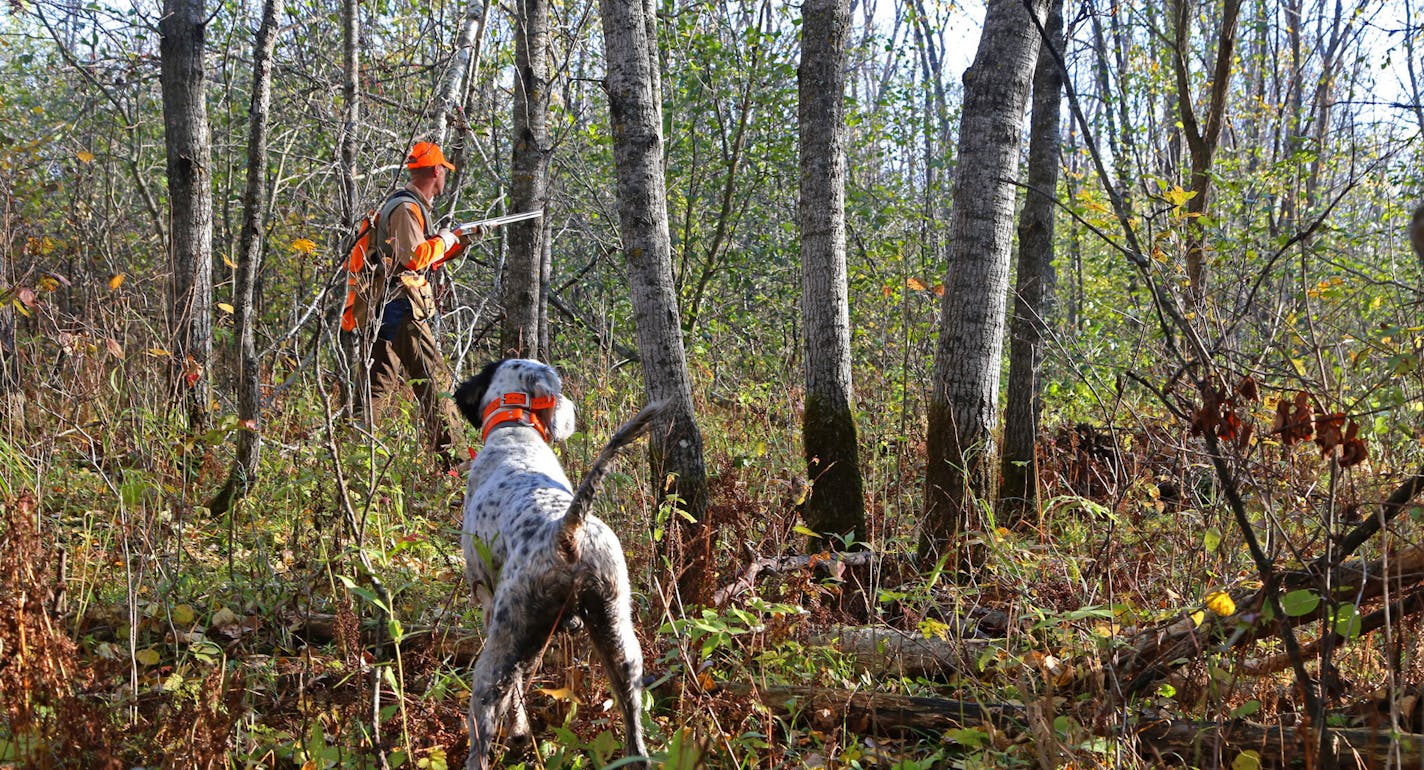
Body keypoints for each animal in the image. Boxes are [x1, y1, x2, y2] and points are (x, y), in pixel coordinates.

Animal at [449, 360, 660, 768]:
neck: (516, 433)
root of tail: (567, 529)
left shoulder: (490, 606)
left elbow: (515, 694)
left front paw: (518, 731)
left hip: (497, 651)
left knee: (484, 727)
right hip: (620, 642)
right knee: (635, 731)